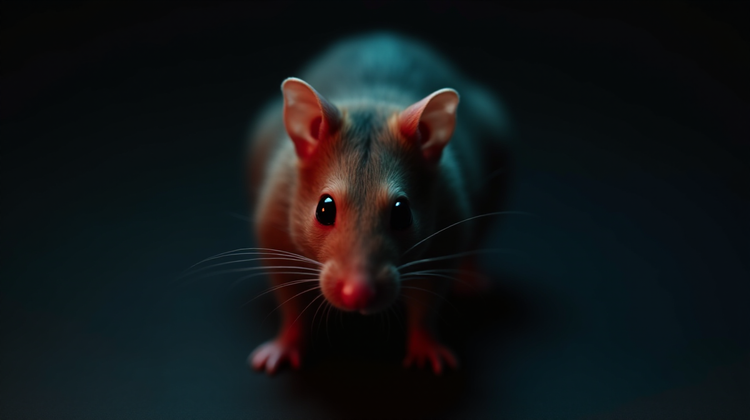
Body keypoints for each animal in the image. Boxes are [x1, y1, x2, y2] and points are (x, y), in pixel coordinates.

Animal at [246, 33, 511, 375]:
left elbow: (428, 298)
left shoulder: (447, 228)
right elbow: (289, 299)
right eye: (324, 209)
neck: (371, 101)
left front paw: (426, 346)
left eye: (402, 213)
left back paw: (469, 277)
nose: (357, 294)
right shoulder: (275, 229)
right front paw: (284, 345)